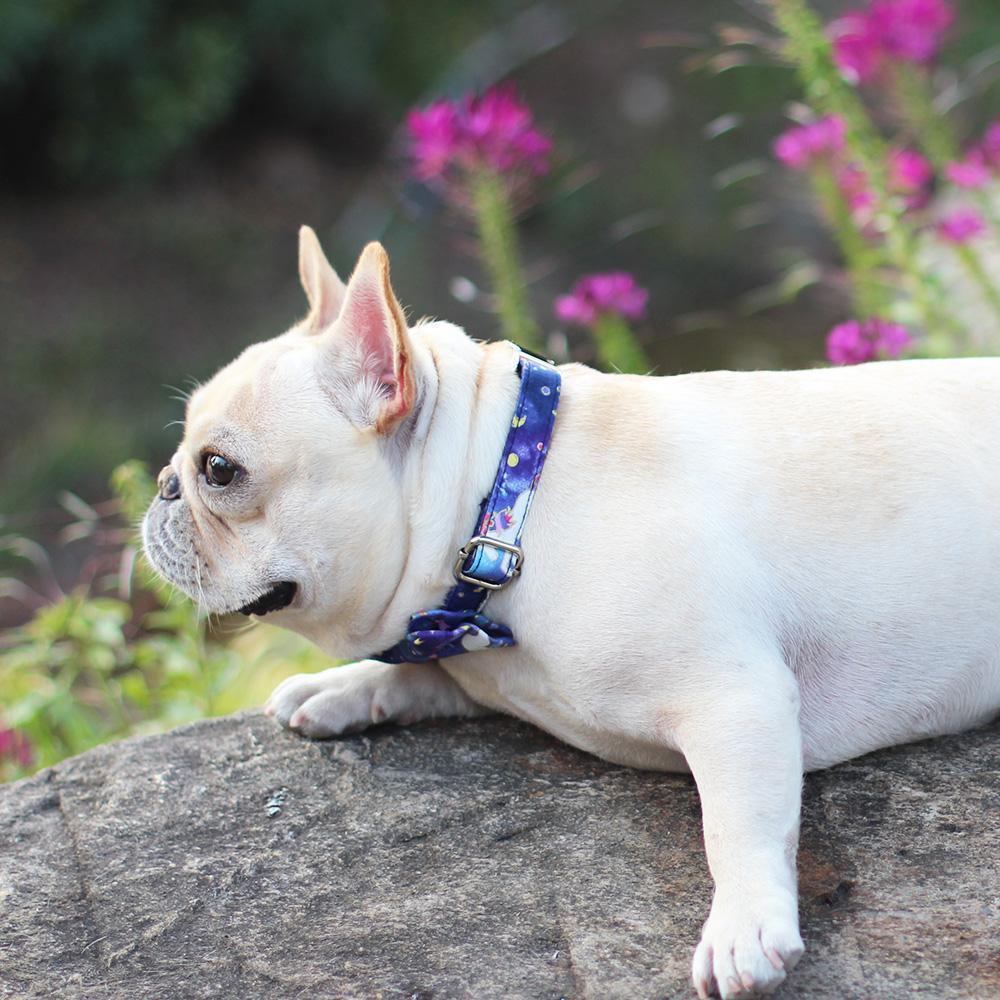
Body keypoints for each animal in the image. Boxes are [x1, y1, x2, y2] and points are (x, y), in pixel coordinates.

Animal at [145, 229, 1000, 1000]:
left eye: (218, 469)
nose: (161, 486)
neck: (507, 499)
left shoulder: (737, 698)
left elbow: (737, 823)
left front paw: (744, 926)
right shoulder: (470, 662)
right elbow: (410, 676)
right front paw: (340, 686)